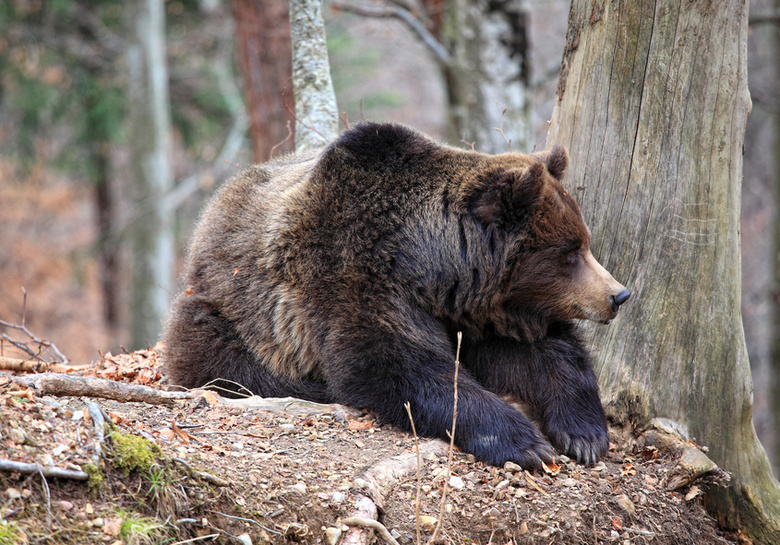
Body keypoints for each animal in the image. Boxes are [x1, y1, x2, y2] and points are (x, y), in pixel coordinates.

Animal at [163, 122, 628, 468]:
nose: (618, 295)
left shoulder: (480, 310)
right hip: (230, 308)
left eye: (583, 242)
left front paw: (583, 434)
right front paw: (524, 442)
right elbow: (396, 366)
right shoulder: (355, 276)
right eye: (571, 252)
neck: (428, 266)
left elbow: (543, 352)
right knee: (221, 358)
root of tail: (214, 208)